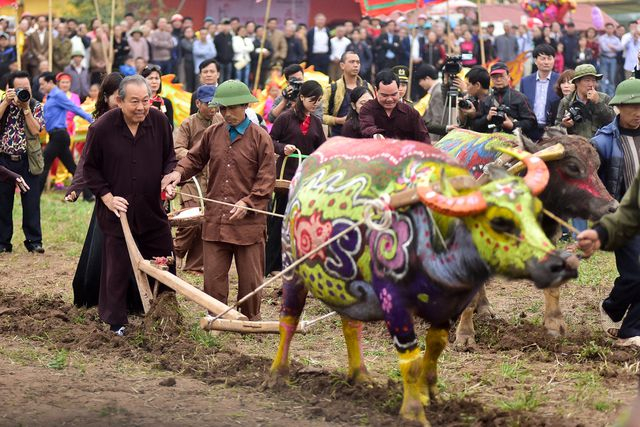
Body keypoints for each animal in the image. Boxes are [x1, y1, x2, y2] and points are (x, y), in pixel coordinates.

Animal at [268, 139, 576, 426]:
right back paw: (277, 375)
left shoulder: (449, 307)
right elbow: (411, 362)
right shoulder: (395, 304)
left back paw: (360, 375)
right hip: (292, 271)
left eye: (536, 212)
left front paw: (430, 394)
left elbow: (436, 347)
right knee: (288, 321)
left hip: (348, 286)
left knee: (350, 325)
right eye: (499, 221)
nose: (560, 264)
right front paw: (414, 411)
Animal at [436, 129, 616, 346]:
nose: (612, 207)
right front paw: (464, 334)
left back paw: (485, 307)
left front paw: (554, 324)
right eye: (573, 166)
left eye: (597, 166)